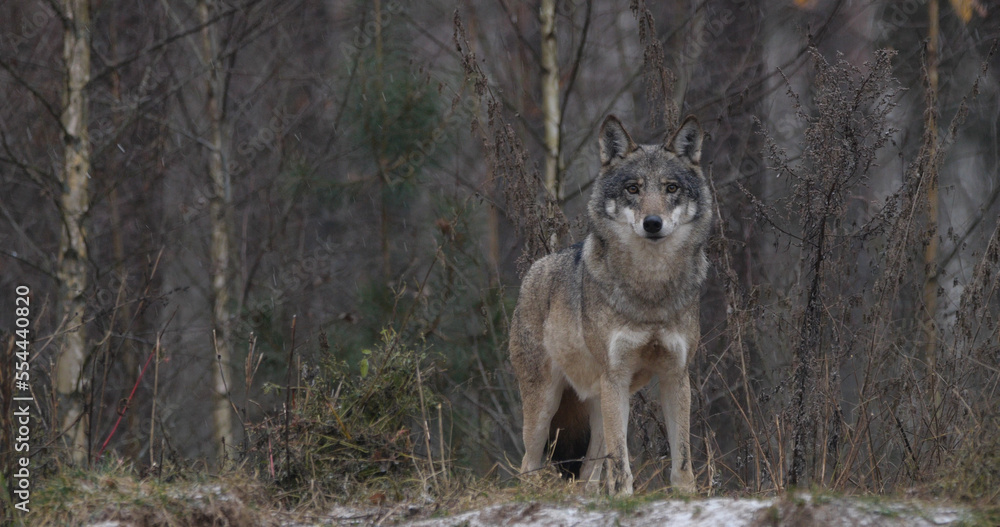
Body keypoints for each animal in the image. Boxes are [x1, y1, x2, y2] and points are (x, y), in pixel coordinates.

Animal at [509, 115, 711, 495]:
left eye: (671, 188)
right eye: (633, 189)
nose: (652, 223)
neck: (650, 291)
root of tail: (532, 271)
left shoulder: (676, 377)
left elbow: (682, 462)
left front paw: (686, 497)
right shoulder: (615, 376)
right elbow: (621, 462)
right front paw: (624, 497)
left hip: (601, 404)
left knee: (588, 476)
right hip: (547, 407)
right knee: (528, 465)